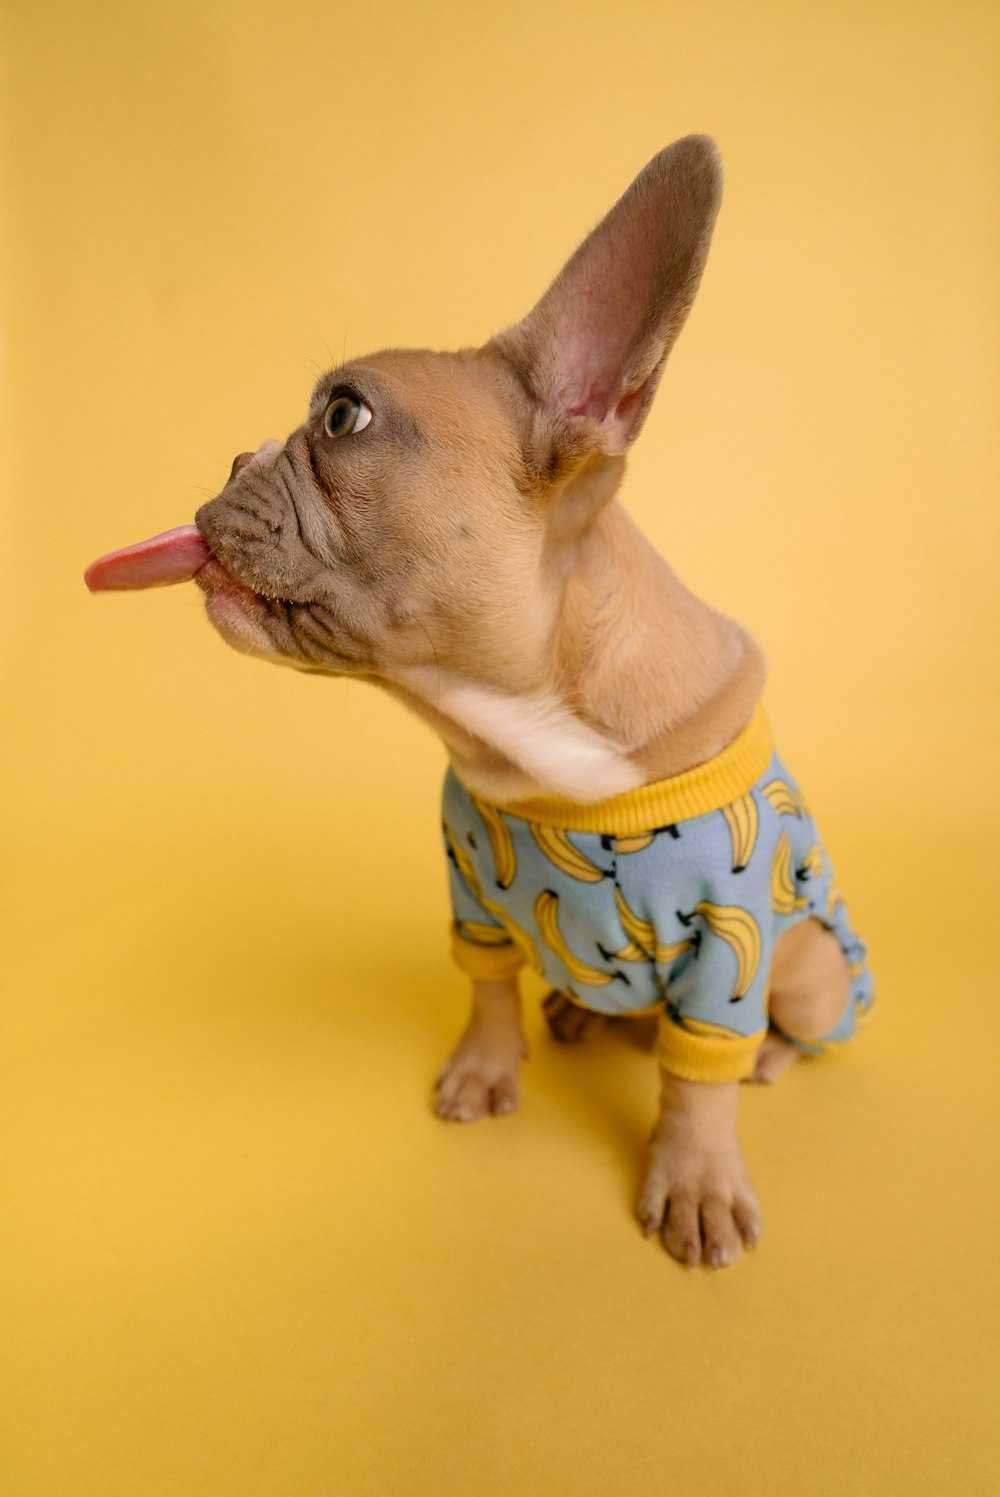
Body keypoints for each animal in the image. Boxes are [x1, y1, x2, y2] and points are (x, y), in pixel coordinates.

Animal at [87, 137, 874, 1263]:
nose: (236, 457)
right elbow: (487, 988)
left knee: (779, 1028)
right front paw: (483, 1071)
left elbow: (695, 1080)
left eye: (342, 415)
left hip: (808, 963)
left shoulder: (729, 944)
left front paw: (695, 1179)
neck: (525, 730)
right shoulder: (473, 892)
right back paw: (590, 1015)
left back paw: (760, 1054)